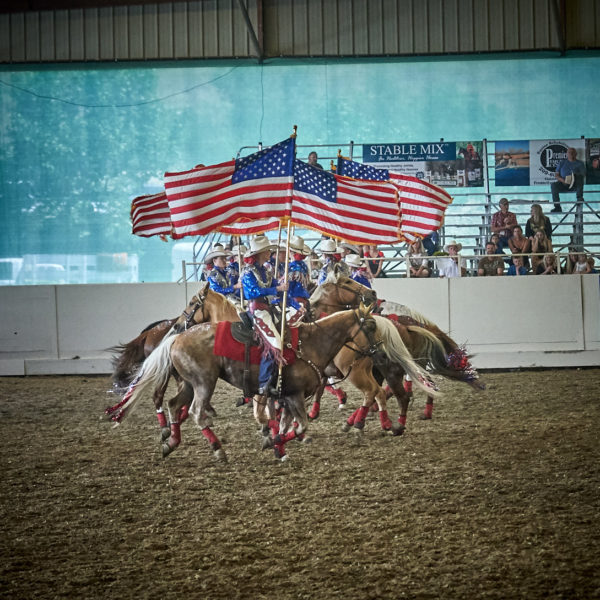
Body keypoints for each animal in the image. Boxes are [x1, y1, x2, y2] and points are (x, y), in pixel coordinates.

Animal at [113, 304, 386, 464]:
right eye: (371, 325)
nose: (381, 354)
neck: (310, 343)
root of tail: (177, 336)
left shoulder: (286, 397)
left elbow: (285, 424)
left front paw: (278, 447)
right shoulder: (294, 395)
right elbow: (300, 426)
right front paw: (275, 443)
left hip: (189, 384)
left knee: (172, 405)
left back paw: (171, 443)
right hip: (204, 383)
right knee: (196, 412)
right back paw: (218, 450)